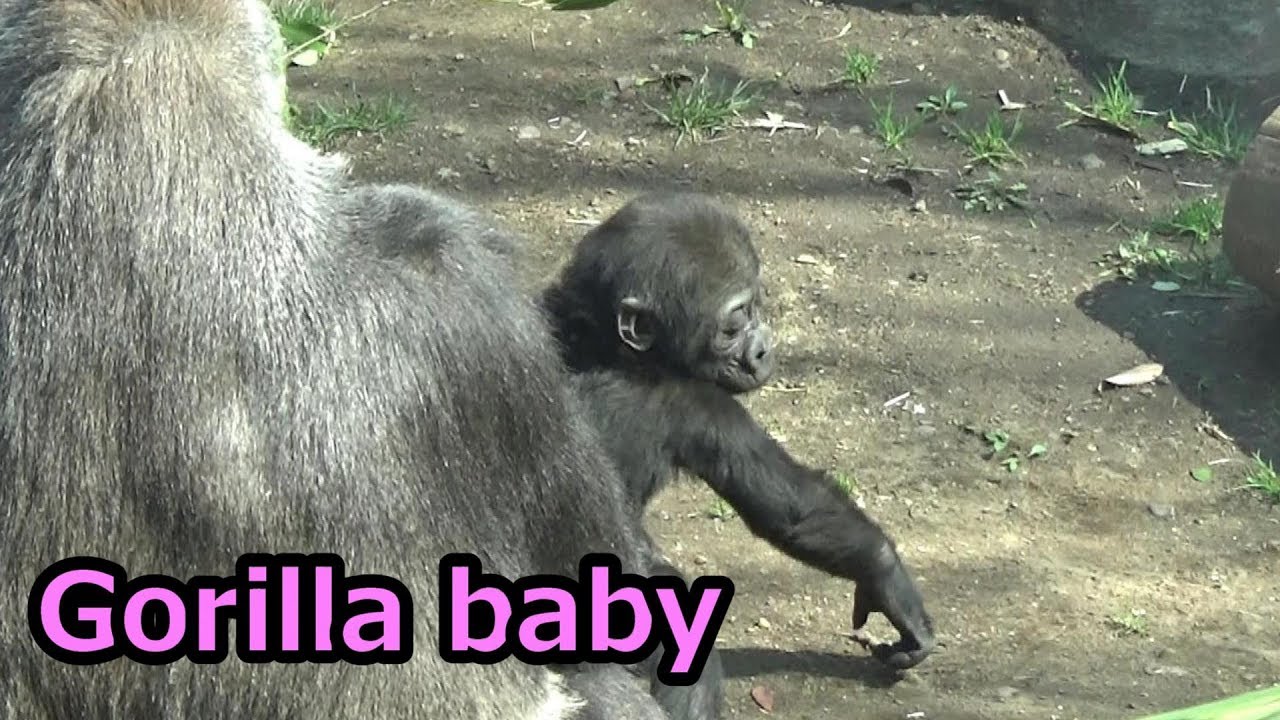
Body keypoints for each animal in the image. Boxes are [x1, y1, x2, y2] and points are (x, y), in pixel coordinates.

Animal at [540, 191, 937, 670]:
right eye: (733, 323)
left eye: (754, 307)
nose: (763, 349)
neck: (604, 342)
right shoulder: (699, 404)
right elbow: (790, 509)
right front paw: (885, 575)